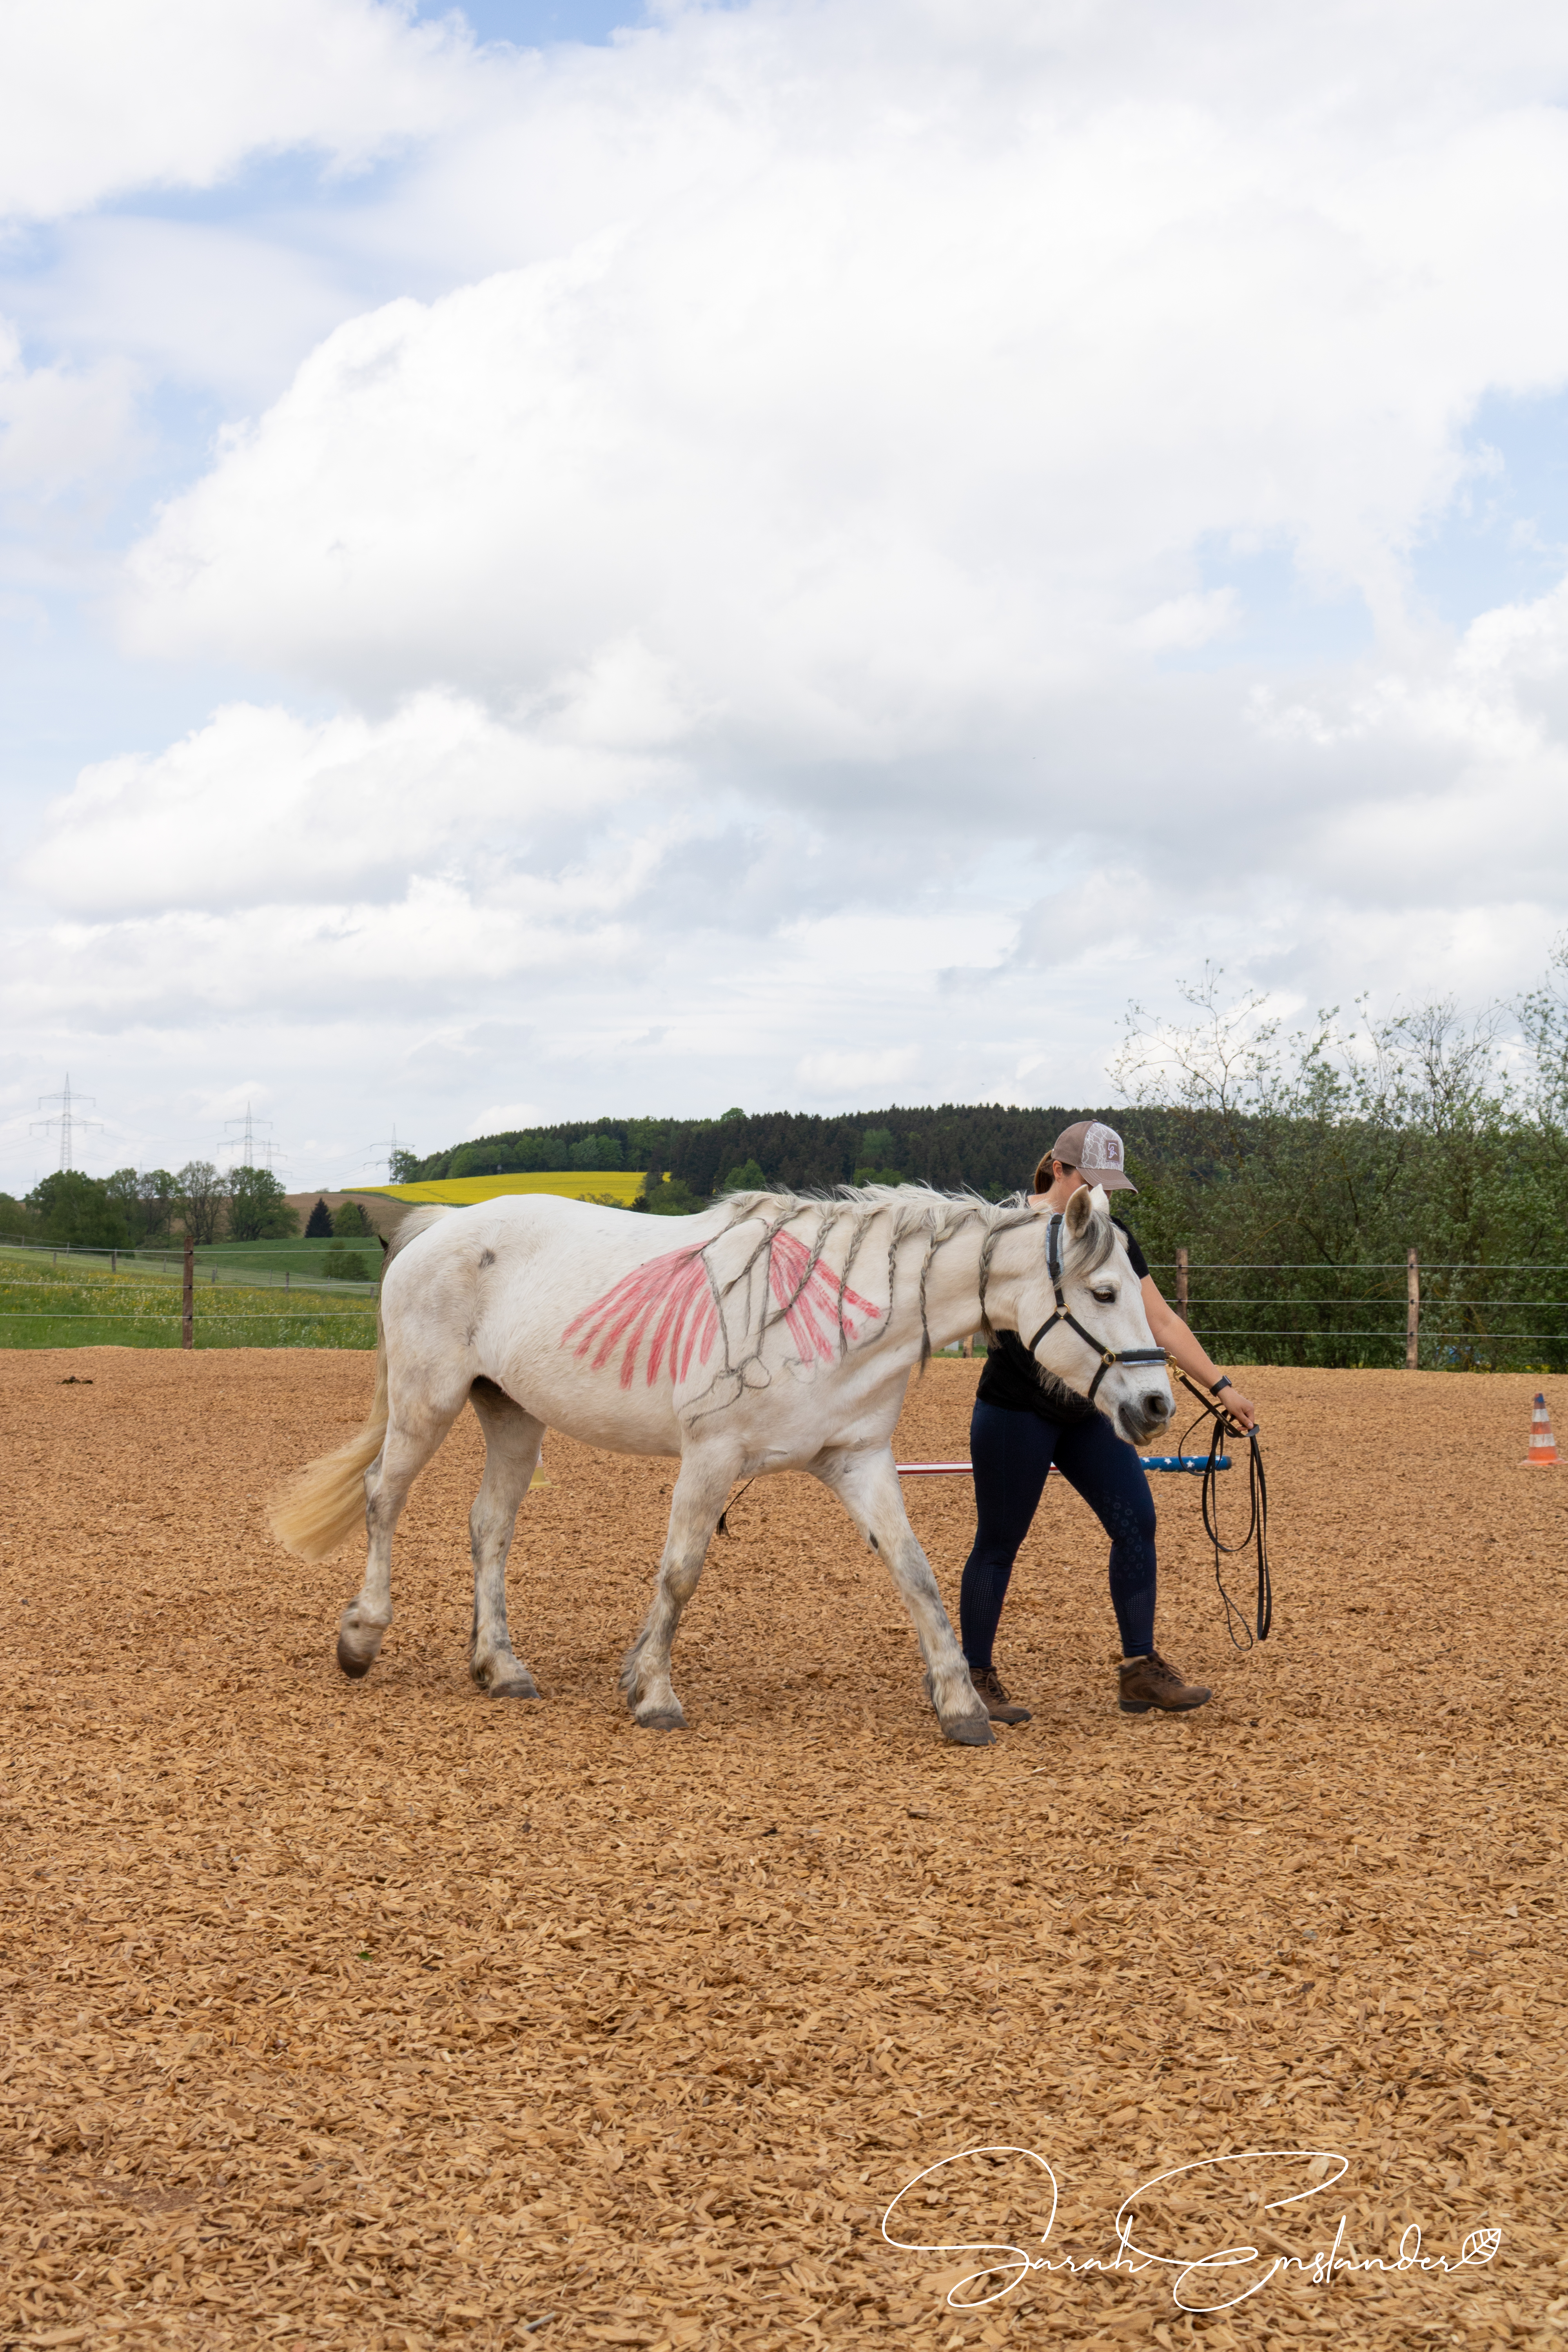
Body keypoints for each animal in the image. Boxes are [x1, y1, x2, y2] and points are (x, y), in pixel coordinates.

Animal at [270, 1180, 1173, 1746]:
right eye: (1101, 1293)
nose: (1157, 1406)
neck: (834, 1313)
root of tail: (435, 1230)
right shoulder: (709, 1458)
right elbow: (680, 1573)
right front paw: (653, 1694)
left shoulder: (859, 1463)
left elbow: (915, 1574)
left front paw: (960, 1705)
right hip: (427, 1403)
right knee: (384, 1499)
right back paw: (362, 1636)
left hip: (513, 1419)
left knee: (488, 1528)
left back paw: (501, 1667)